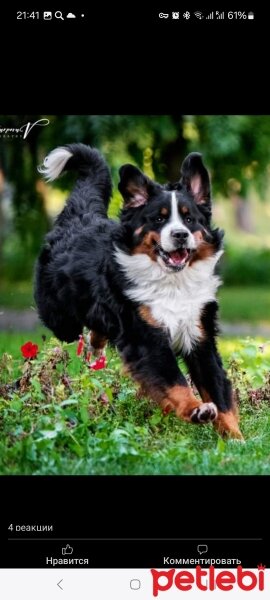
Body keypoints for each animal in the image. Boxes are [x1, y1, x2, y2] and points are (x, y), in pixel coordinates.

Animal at [34, 143, 243, 438]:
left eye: (190, 218)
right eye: (159, 218)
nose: (180, 234)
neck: (172, 283)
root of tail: (80, 215)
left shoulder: (199, 336)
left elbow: (218, 390)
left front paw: (236, 438)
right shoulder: (146, 337)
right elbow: (175, 381)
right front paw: (195, 409)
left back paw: (95, 349)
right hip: (61, 320)